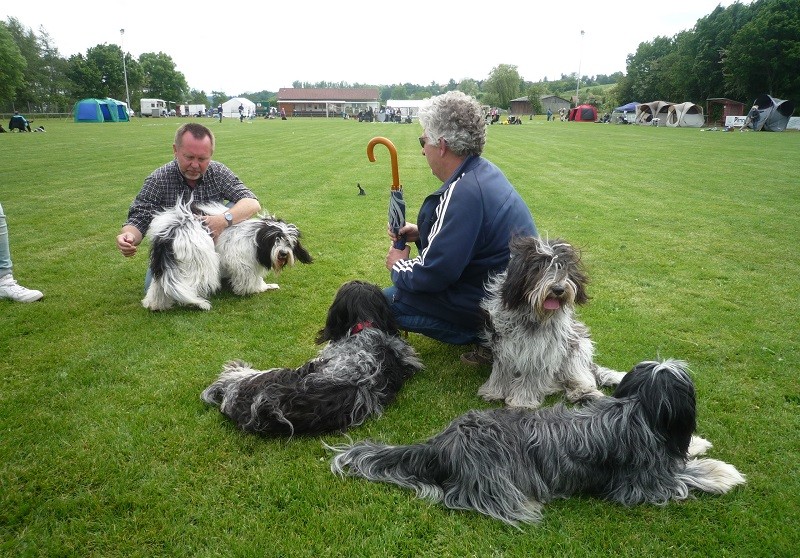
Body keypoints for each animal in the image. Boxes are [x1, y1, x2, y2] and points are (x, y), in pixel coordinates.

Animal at [328, 360, 748, 528]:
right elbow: (683, 476)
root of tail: (442, 441)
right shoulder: (641, 484)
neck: (634, 409)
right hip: (494, 475)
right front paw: (723, 473)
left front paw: (698, 444)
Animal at [478, 235, 628, 406]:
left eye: (563, 267)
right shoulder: (504, 345)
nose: (558, 289)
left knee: (582, 376)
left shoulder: (542, 350)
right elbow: (501, 371)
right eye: (538, 268)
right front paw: (494, 392)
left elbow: (531, 377)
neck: (532, 315)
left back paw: (583, 392)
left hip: (577, 349)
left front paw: (522, 401)